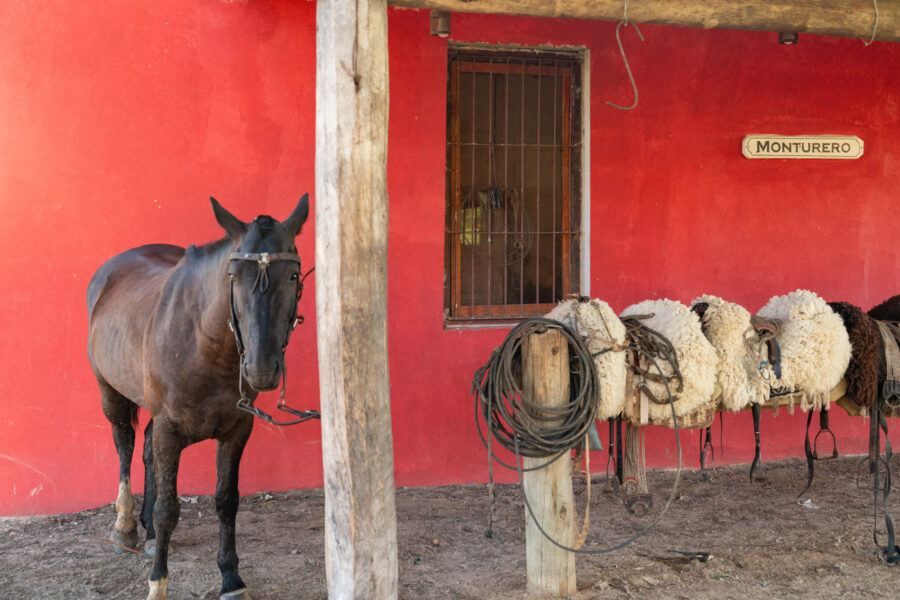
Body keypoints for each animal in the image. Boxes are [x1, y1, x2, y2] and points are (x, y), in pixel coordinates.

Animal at [87, 195, 310, 600]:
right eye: (233, 277)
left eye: (292, 276)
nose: (261, 368)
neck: (206, 344)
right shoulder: (170, 429)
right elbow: (169, 509)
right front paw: (157, 583)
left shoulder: (238, 429)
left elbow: (226, 500)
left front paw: (231, 579)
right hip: (110, 392)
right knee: (125, 445)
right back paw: (126, 525)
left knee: (145, 450)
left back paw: (148, 532)